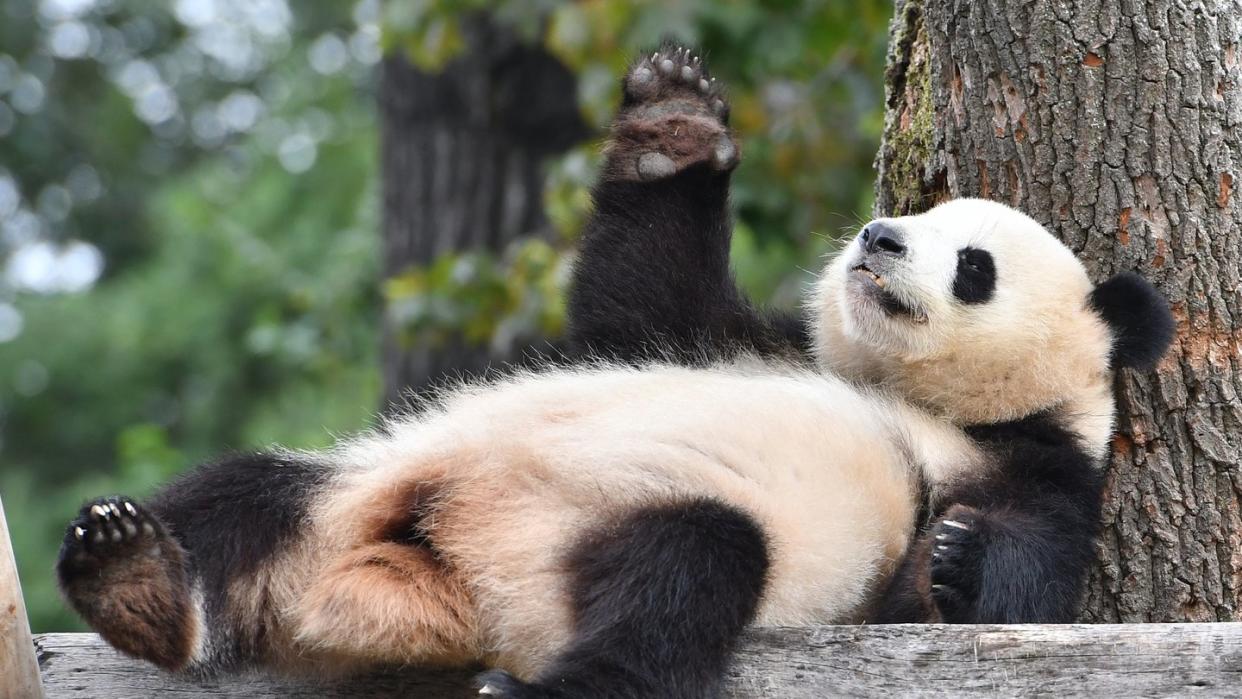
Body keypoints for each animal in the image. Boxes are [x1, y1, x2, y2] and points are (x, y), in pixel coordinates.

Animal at [50, 46, 1172, 695]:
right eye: (912, 212)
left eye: (974, 264)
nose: (879, 236)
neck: (910, 392)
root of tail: (436, 575)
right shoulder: (740, 338)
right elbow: (636, 299)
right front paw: (674, 121)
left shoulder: (1039, 465)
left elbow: (1011, 589)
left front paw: (957, 554)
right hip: (359, 486)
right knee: (242, 494)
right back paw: (134, 575)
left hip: (614, 532)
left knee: (680, 581)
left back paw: (535, 687)